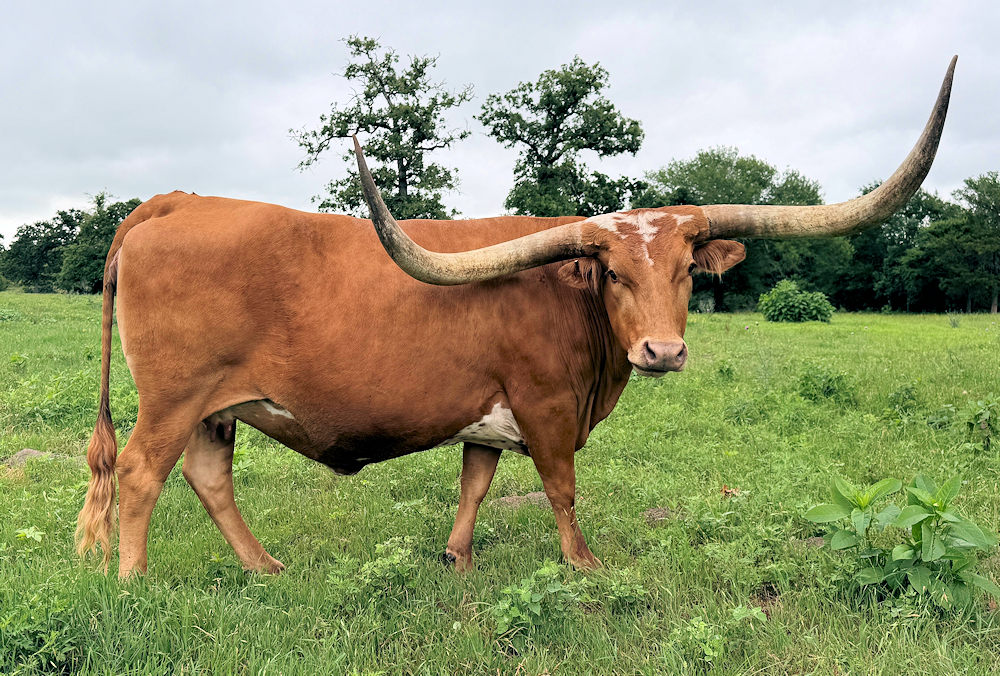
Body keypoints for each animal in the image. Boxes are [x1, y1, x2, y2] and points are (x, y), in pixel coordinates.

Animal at [77, 58, 955, 577]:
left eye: (683, 271)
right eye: (612, 273)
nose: (662, 351)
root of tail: (173, 200)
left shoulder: (489, 414)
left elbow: (475, 483)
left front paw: (456, 557)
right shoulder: (546, 405)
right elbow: (562, 488)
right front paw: (584, 565)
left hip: (217, 406)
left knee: (207, 477)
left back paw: (264, 568)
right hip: (173, 397)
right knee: (142, 474)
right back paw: (134, 581)